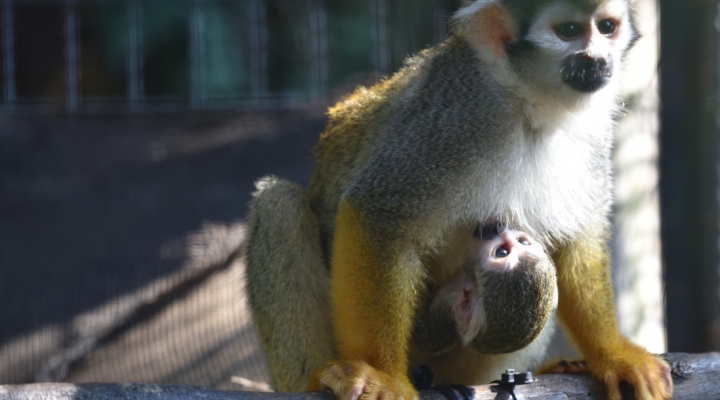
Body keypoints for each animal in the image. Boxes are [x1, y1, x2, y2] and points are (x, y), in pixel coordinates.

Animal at [245, 0, 672, 400]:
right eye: (568, 31)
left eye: (606, 27)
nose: (598, 59)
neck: (533, 104)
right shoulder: (455, 118)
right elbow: (378, 215)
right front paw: (381, 374)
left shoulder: (594, 133)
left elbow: (575, 239)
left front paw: (614, 354)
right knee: (280, 204)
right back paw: (313, 381)